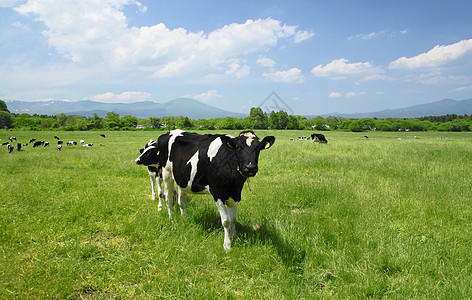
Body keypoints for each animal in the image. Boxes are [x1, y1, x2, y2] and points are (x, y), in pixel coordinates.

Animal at [146, 129, 276, 251]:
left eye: (258, 148)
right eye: (239, 148)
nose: (250, 167)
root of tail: (169, 132)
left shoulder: (236, 194)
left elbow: (233, 219)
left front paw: (234, 237)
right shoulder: (217, 193)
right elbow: (226, 221)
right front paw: (227, 245)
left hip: (183, 181)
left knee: (181, 201)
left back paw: (185, 219)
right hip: (166, 174)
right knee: (169, 199)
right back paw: (171, 220)